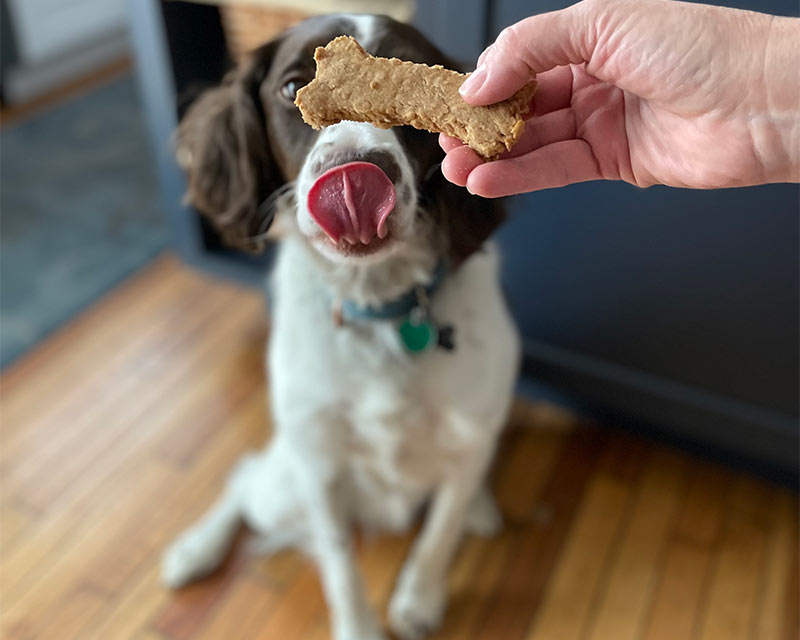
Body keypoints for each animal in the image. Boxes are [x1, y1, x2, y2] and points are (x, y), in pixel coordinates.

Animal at [162, 12, 520, 636]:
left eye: (410, 103)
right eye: (292, 88)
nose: (355, 180)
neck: (379, 308)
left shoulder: (471, 434)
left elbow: (439, 533)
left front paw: (418, 600)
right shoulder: (318, 463)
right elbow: (339, 563)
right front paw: (360, 626)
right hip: (283, 483)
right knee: (245, 480)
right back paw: (195, 549)